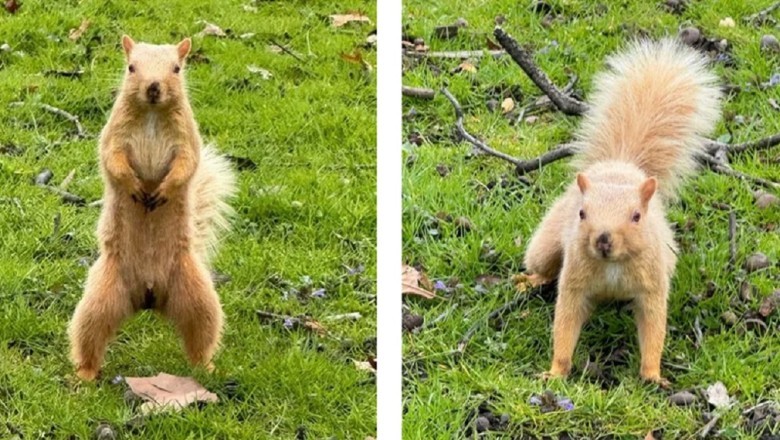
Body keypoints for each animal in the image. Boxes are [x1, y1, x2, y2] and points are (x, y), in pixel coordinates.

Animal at [67, 35, 236, 381]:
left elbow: (186, 166)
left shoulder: (187, 141)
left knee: (201, 335)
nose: (154, 87)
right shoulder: (113, 138)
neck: (152, 115)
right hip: (100, 298)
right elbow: (114, 161)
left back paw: (207, 368)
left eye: (177, 68)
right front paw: (134, 187)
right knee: (89, 335)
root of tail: (147, 296)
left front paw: (164, 191)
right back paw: (85, 374)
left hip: (197, 296)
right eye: (131, 67)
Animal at [523, 39, 721, 385]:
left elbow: (653, 327)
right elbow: (565, 325)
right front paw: (556, 371)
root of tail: (620, 165)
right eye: (582, 213)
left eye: (637, 216)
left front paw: (653, 375)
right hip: (546, 245)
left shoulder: (653, 285)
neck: (612, 265)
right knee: (543, 264)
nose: (603, 239)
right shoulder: (574, 283)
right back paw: (529, 280)